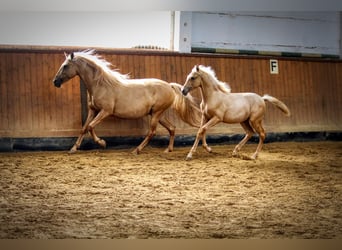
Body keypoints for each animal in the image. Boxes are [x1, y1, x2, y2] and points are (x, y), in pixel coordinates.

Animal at [52, 50, 203, 153]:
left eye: (65, 66)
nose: (55, 82)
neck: (101, 85)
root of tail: (169, 86)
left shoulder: (105, 111)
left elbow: (90, 127)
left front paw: (102, 143)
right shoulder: (93, 110)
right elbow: (84, 128)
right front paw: (73, 148)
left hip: (156, 114)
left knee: (152, 132)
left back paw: (137, 150)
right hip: (158, 114)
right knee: (172, 128)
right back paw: (168, 150)